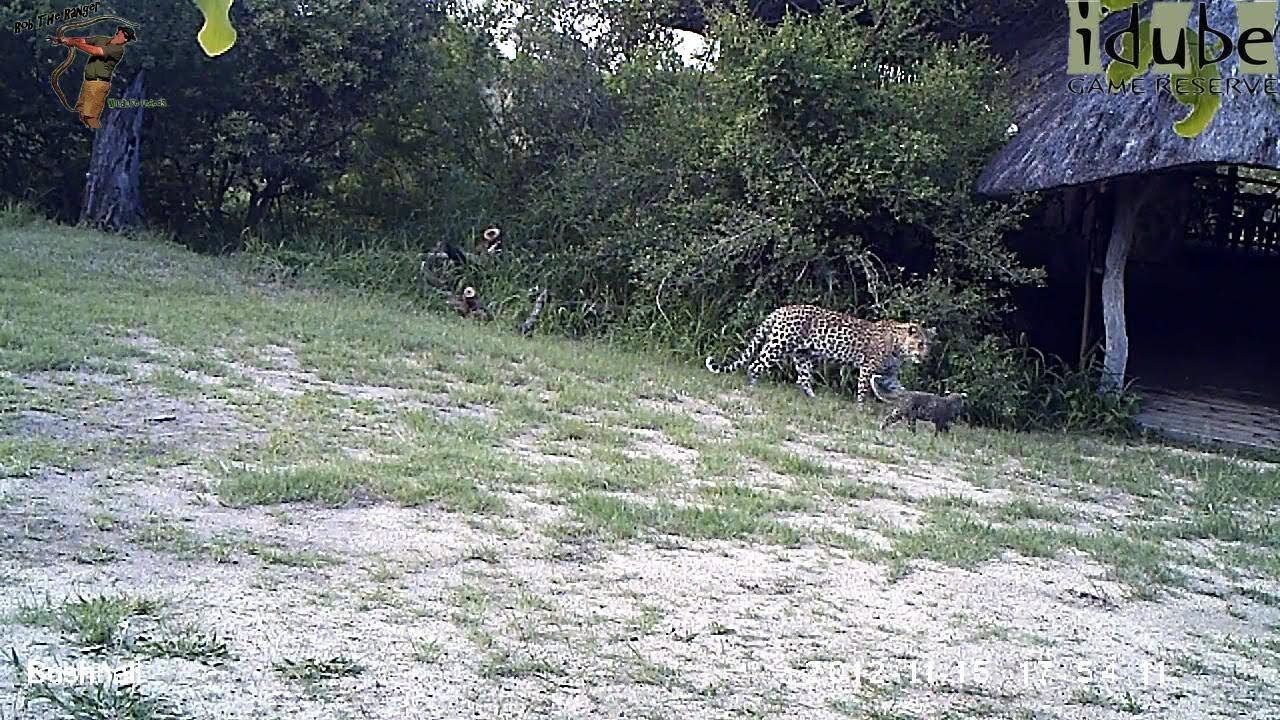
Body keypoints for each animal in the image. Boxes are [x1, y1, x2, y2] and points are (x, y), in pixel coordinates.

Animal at [706, 302, 936, 399]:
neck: (899, 347)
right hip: (778, 345)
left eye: (928, 344)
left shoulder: (889, 375)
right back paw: (750, 389)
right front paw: (860, 409)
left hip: (802, 355)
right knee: (755, 365)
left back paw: (813, 399)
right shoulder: (867, 368)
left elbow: (900, 388)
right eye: (920, 344)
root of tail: (781, 309)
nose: (926, 356)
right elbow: (862, 390)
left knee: (803, 379)